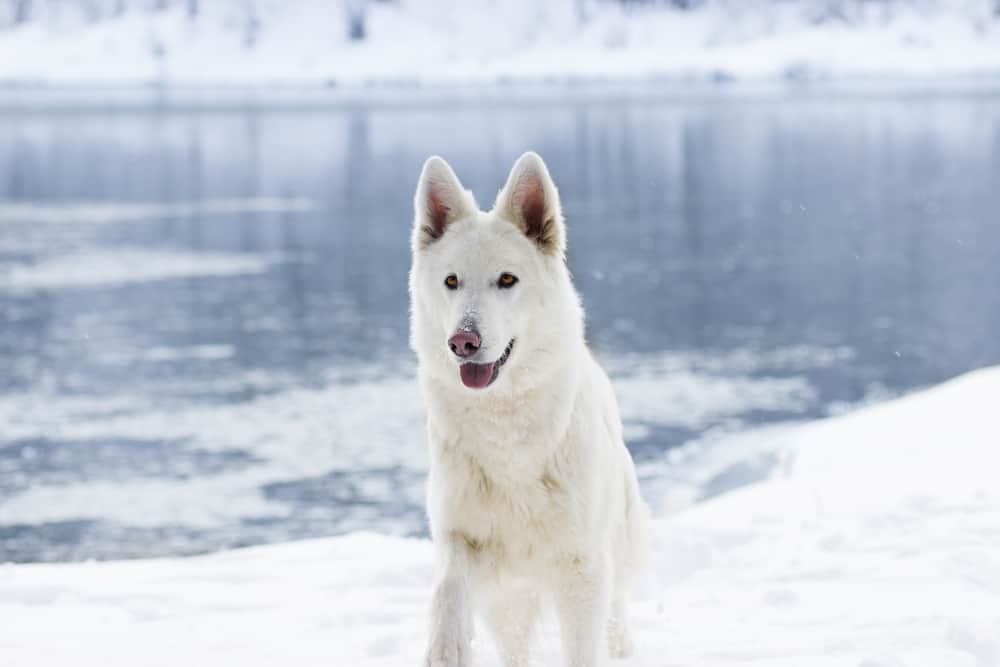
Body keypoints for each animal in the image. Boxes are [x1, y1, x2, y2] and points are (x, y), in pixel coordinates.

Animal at [408, 153, 648, 667]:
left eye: (507, 280)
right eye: (451, 281)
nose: (463, 342)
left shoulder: (581, 568)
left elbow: (583, 651)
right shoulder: (461, 536)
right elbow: (446, 596)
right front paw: (445, 646)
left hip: (612, 564)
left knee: (617, 626)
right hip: (508, 603)